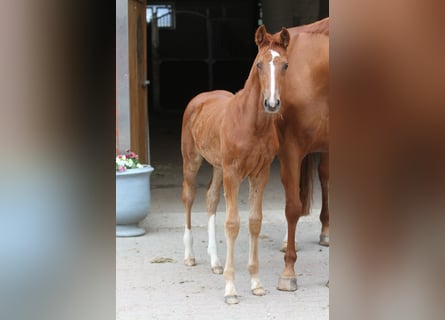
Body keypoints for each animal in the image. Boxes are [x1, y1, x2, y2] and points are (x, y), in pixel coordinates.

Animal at [181, 26, 292, 304]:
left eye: (284, 65)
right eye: (259, 64)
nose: (272, 104)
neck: (253, 124)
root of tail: (201, 97)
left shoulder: (260, 173)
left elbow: (254, 221)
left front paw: (256, 282)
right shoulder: (233, 172)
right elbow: (232, 224)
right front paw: (231, 288)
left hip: (218, 167)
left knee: (210, 199)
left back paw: (215, 261)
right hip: (192, 160)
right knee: (189, 197)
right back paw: (189, 256)